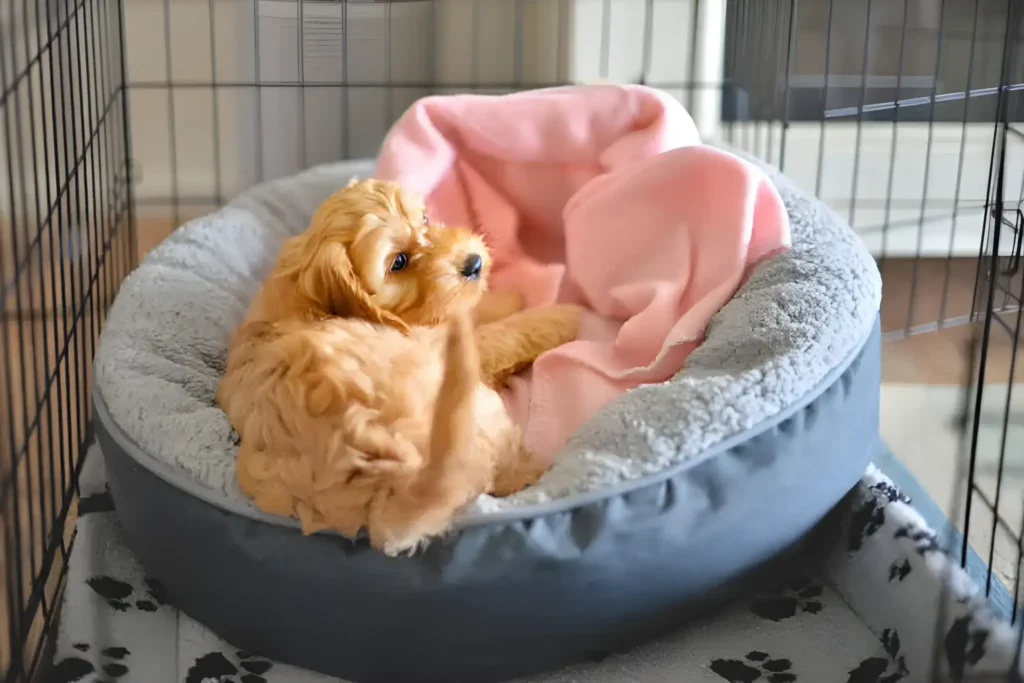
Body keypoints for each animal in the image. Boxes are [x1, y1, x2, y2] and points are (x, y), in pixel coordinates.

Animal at [214, 178, 585, 557]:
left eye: (425, 218)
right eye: (400, 262)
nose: (474, 264)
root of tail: (391, 476)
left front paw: (504, 297)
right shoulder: (441, 344)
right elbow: (498, 334)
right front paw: (560, 316)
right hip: (476, 408)